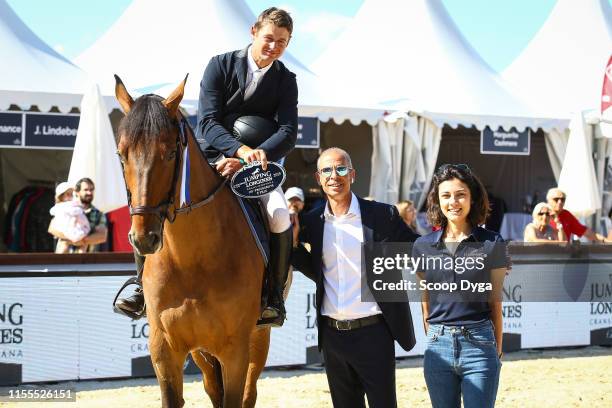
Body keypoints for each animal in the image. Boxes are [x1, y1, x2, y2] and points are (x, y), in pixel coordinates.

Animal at [115, 74, 272, 408]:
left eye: (171, 153)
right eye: (122, 154)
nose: (143, 238)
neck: (191, 260)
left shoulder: (235, 351)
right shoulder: (164, 350)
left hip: (258, 337)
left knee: (249, 393)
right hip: (201, 351)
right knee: (213, 387)